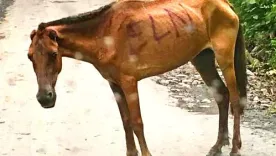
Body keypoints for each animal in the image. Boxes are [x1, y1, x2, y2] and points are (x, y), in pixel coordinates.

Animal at [28, 0, 247, 155]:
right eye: (30, 56)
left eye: (53, 54)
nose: (44, 98)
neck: (103, 34)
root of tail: (225, 4)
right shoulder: (114, 84)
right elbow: (125, 122)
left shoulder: (129, 82)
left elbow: (137, 122)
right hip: (202, 59)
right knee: (222, 95)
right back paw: (218, 145)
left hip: (224, 58)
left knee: (236, 100)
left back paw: (235, 148)